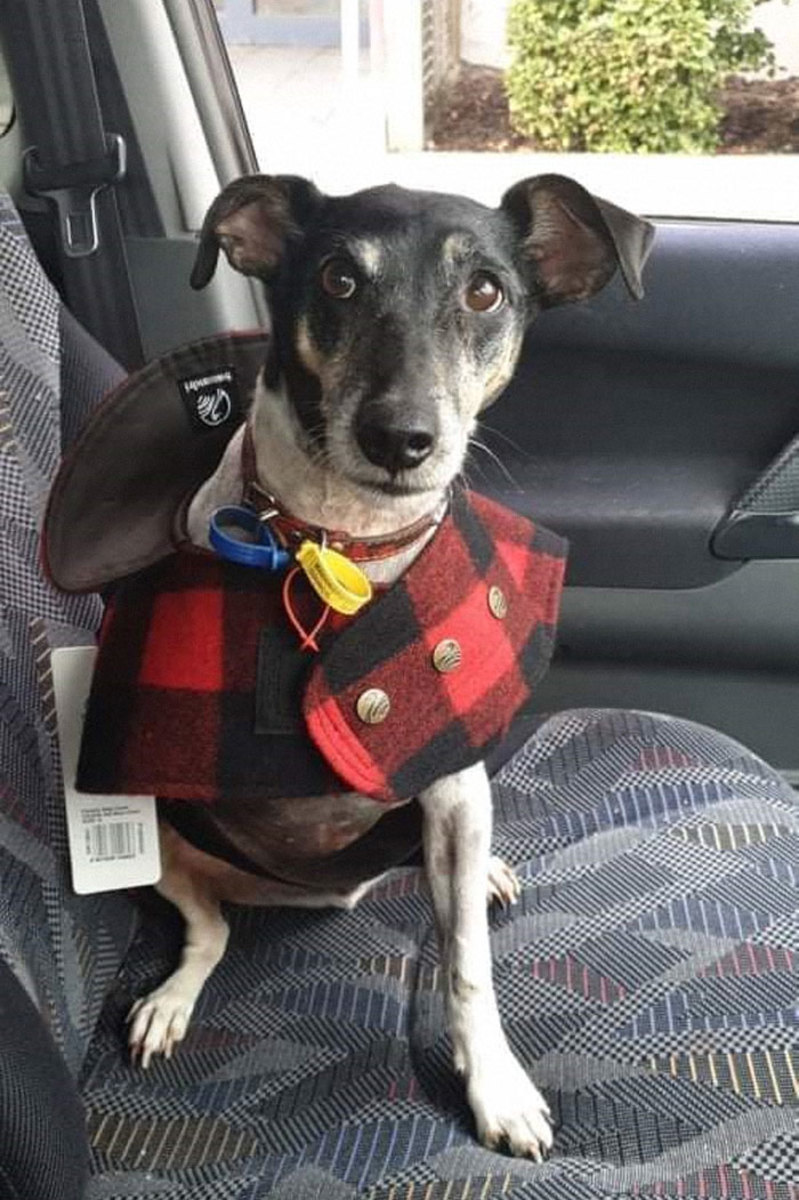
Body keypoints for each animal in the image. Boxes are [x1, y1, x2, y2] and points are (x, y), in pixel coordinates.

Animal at [122, 174, 647, 1156]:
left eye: (484, 291)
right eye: (337, 279)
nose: (399, 438)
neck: (343, 547)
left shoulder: (450, 785)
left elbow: (466, 965)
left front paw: (496, 1088)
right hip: (166, 840)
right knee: (206, 932)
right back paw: (171, 999)